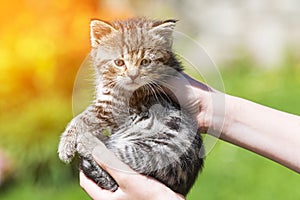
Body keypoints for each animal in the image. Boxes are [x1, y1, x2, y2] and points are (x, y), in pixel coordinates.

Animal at [57, 18, 205, 196]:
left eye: (145, 62)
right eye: (119, 62)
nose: (133, 75)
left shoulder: (113, 106)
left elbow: (83, 119)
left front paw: (65, 146)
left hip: (156, 149)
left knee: (118, 156)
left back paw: (88, 142)